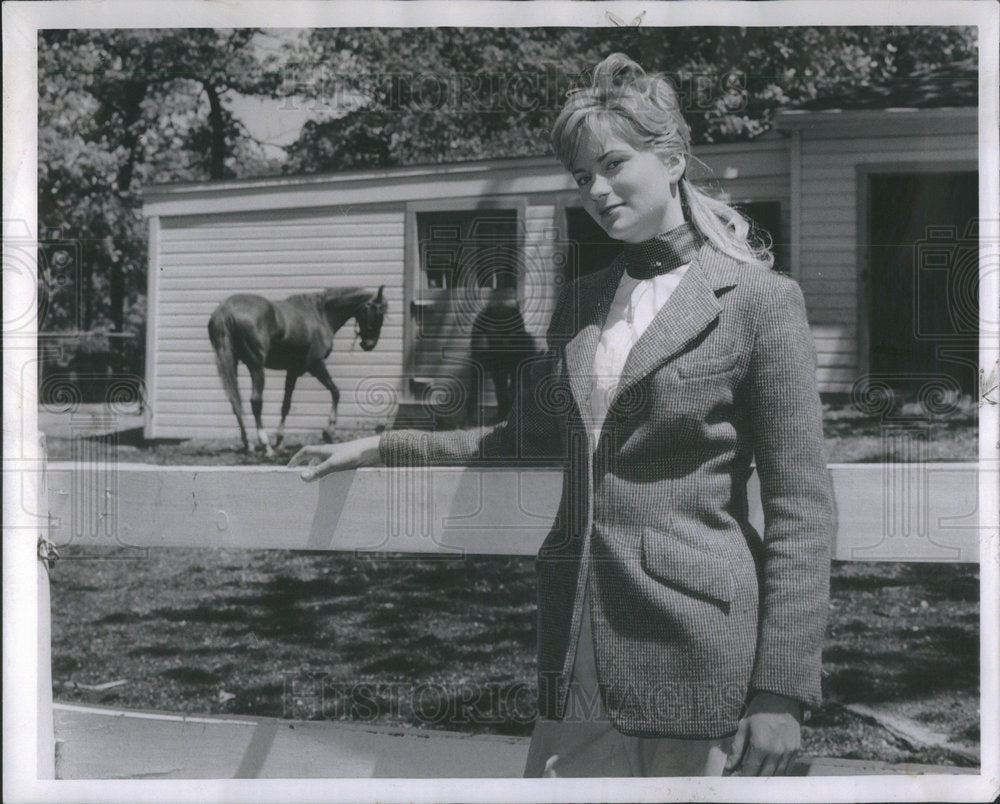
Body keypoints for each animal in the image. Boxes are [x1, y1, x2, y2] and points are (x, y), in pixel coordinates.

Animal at [208, 286, 386, 456]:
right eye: (373, 312)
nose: (369, 344)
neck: (320, 314)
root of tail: (226, 309)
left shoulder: (293, 370)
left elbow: (286, 405)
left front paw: (280, 439)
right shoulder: (315, 365)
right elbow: (335, 392)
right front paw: (329, 432)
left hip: (232, 363)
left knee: (234, 401)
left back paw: (249, 445)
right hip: (256, 366)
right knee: (255, 401)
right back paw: (265, 446)